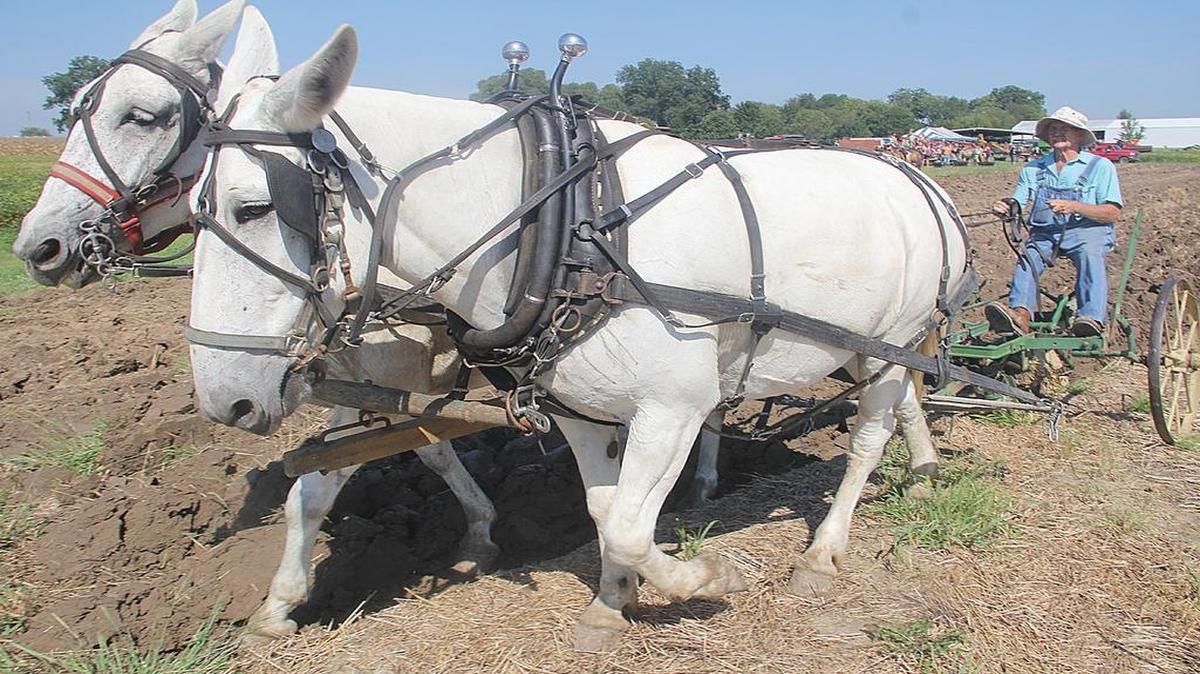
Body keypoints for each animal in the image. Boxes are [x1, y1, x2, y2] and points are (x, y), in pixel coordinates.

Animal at [186, 25, 956, 651]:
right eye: (193, 214)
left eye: (253, 208)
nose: (227, 403)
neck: (569, 228)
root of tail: (916, 176)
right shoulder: (575, 406)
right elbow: (606, 511)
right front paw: (613, 602)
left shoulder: (671, 407)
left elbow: (630, 528)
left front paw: (707, 576)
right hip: (867, 349)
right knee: (906, 403)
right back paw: (921, 471)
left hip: (894, 339)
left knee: (867, 438)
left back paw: (824, 552)